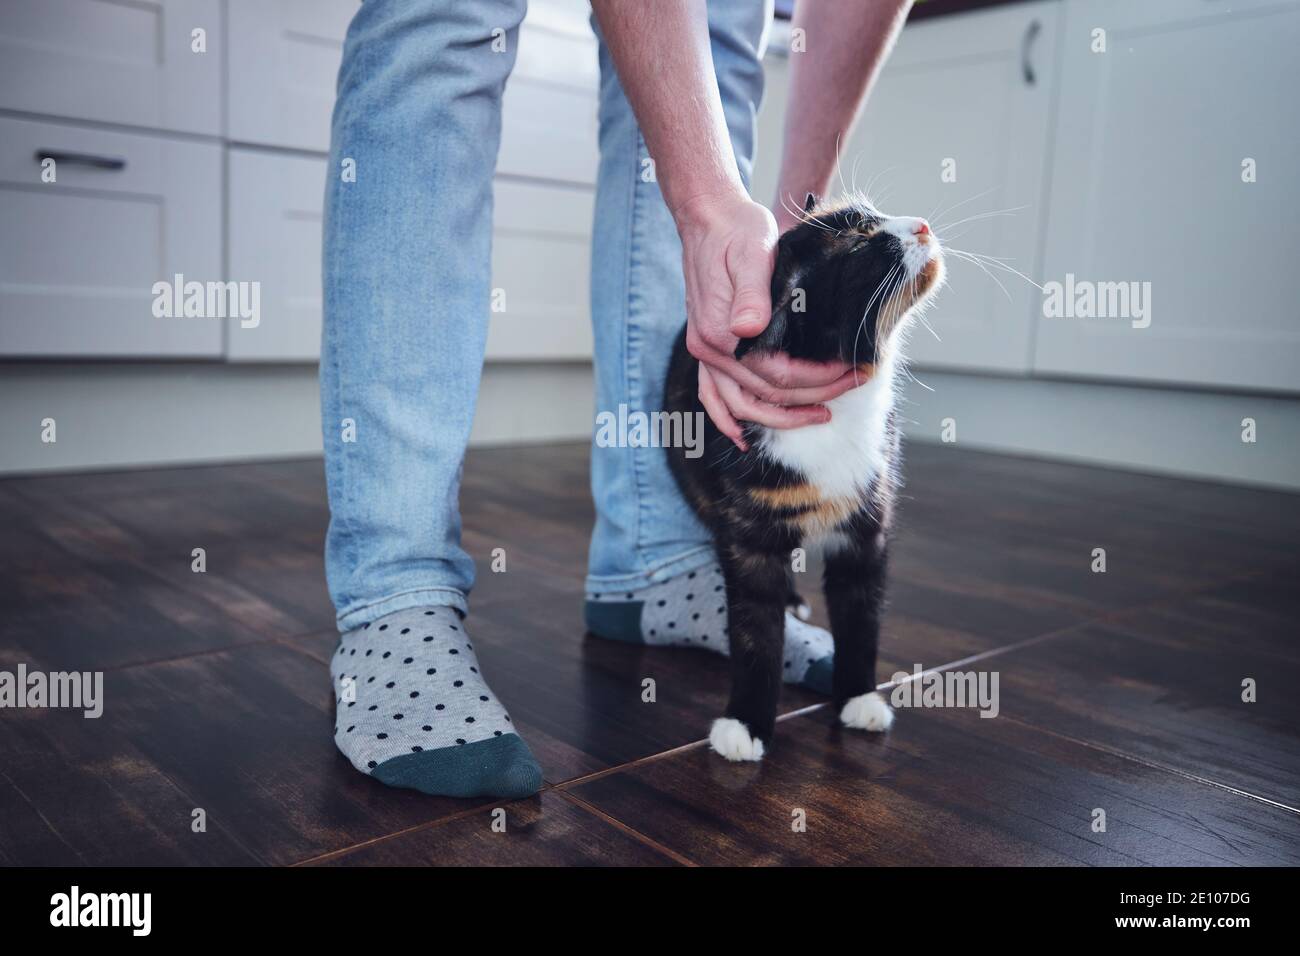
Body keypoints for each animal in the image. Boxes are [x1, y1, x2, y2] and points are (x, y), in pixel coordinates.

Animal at [670, 195, 946, 764]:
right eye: (861, 243)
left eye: (872, 213)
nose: (923, 225)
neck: (838, 416)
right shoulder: (748, 538)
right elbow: (755, 633)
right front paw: (746, 723)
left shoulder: (868, 526)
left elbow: (861, 618)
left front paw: (858, 697)